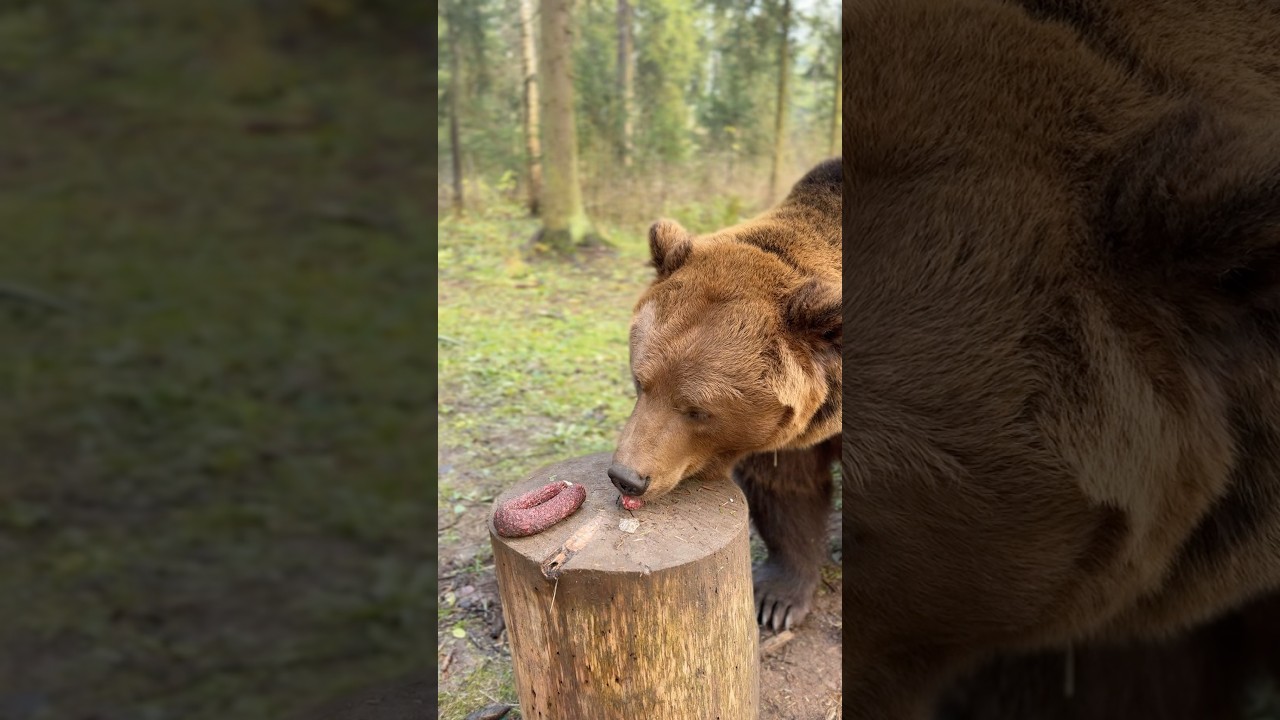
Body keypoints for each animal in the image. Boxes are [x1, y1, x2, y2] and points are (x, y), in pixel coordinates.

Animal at [609, 158, 841, 632]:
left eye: (697, 409)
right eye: (640, 381)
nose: (626, 477)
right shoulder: (792, 435)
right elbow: (790, 491)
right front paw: (776, 600)